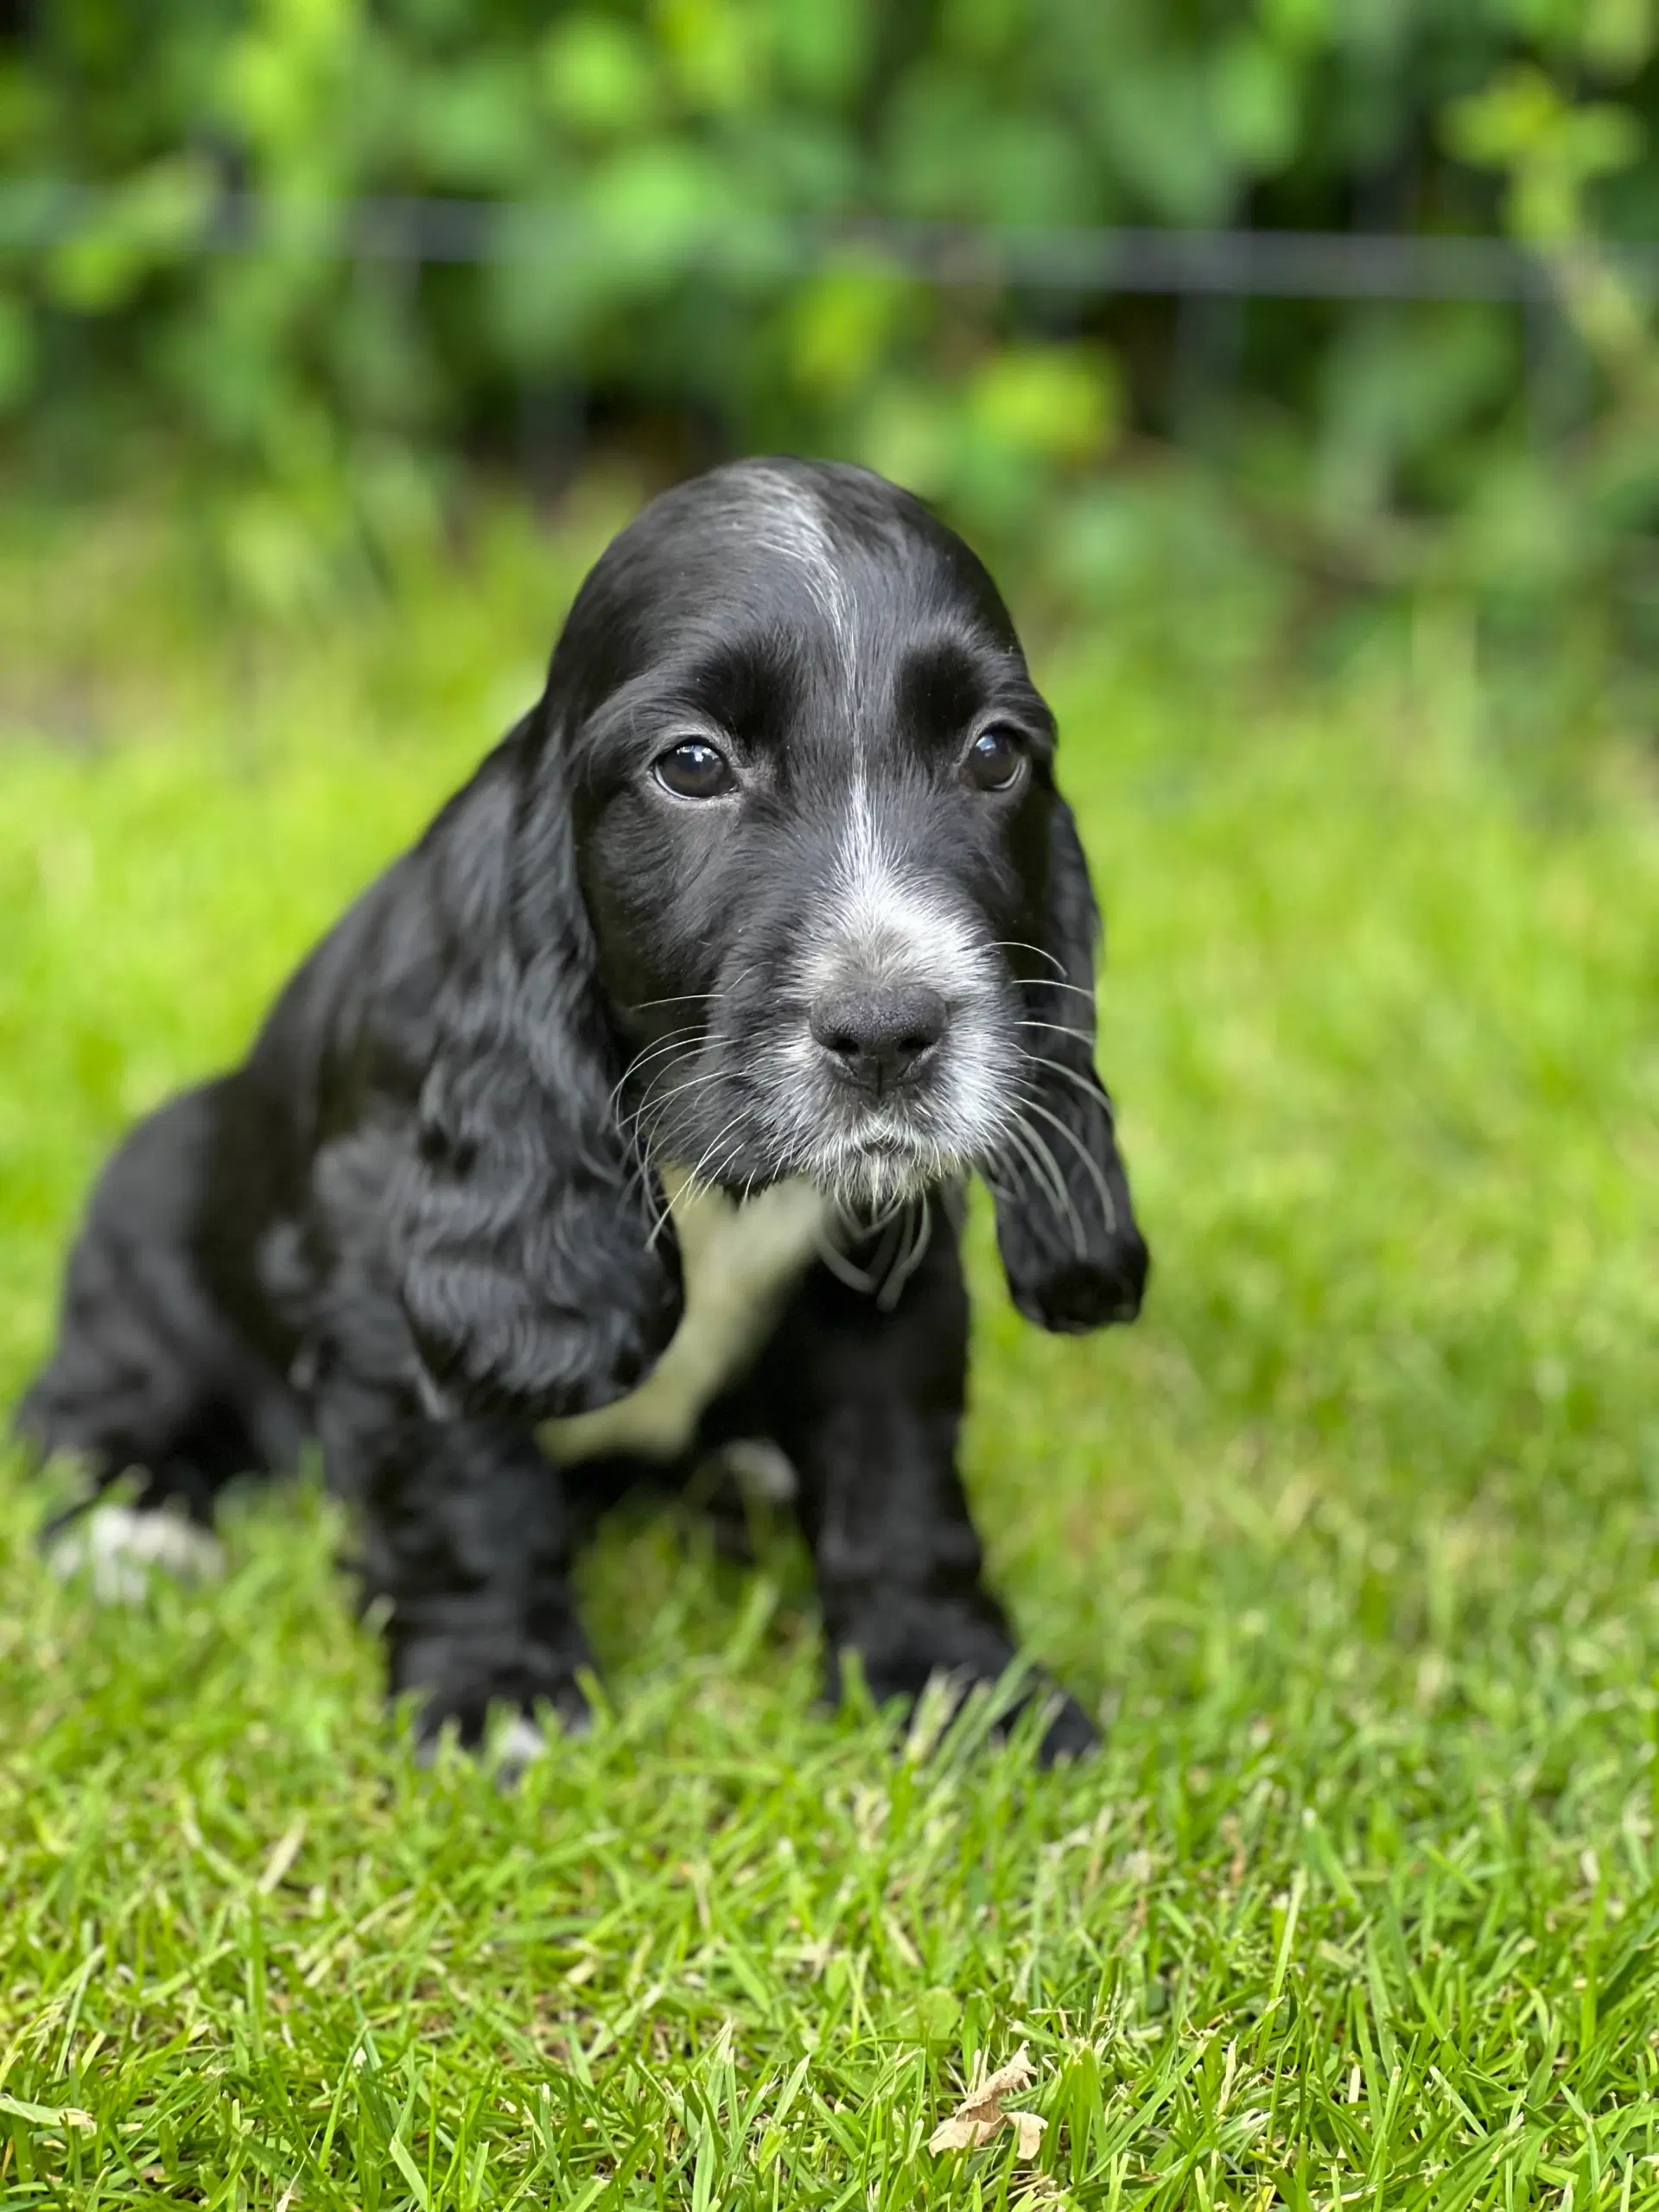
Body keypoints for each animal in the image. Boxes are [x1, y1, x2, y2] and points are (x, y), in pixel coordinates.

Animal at [19, 457, 1150, 1770]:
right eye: (693, 765)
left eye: (994, 753)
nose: (888, 1033)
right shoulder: (390, 1258)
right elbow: (464, 1481)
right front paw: (499, 1694)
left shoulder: (893, 1262)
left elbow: (898, 1474)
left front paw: (952, 1685)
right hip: (153, 1192)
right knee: (86, 1399)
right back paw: (135, 1533)